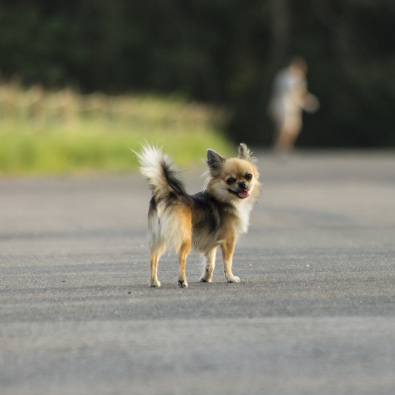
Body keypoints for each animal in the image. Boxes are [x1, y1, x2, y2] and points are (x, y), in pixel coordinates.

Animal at [136, 142, 260, 288]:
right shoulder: (229, 240)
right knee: (181, 259)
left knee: (153, 259)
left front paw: (206, 278)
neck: (223, 199)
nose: (242, 184)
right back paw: (182, 281)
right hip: (184, 238)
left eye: (248, 176)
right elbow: (227, 262)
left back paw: (154, 282)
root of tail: (167, 195)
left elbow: (210, 263)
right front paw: (230, 278)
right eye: (230, 180)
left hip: (159, 238)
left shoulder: (212, 243)